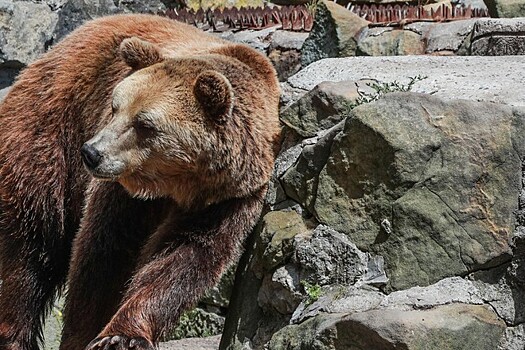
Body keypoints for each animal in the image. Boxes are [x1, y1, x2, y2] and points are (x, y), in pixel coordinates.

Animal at [0, 13, 280, 350]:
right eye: (115, 106)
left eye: (144, 123)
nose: (92, 153)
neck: (178, 183)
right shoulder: (122, 193)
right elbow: (104, 256)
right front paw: (87, 335)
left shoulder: (227, 200)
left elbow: (183, 259)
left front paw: (122, 336)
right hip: (49, 129)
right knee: (31, 239)